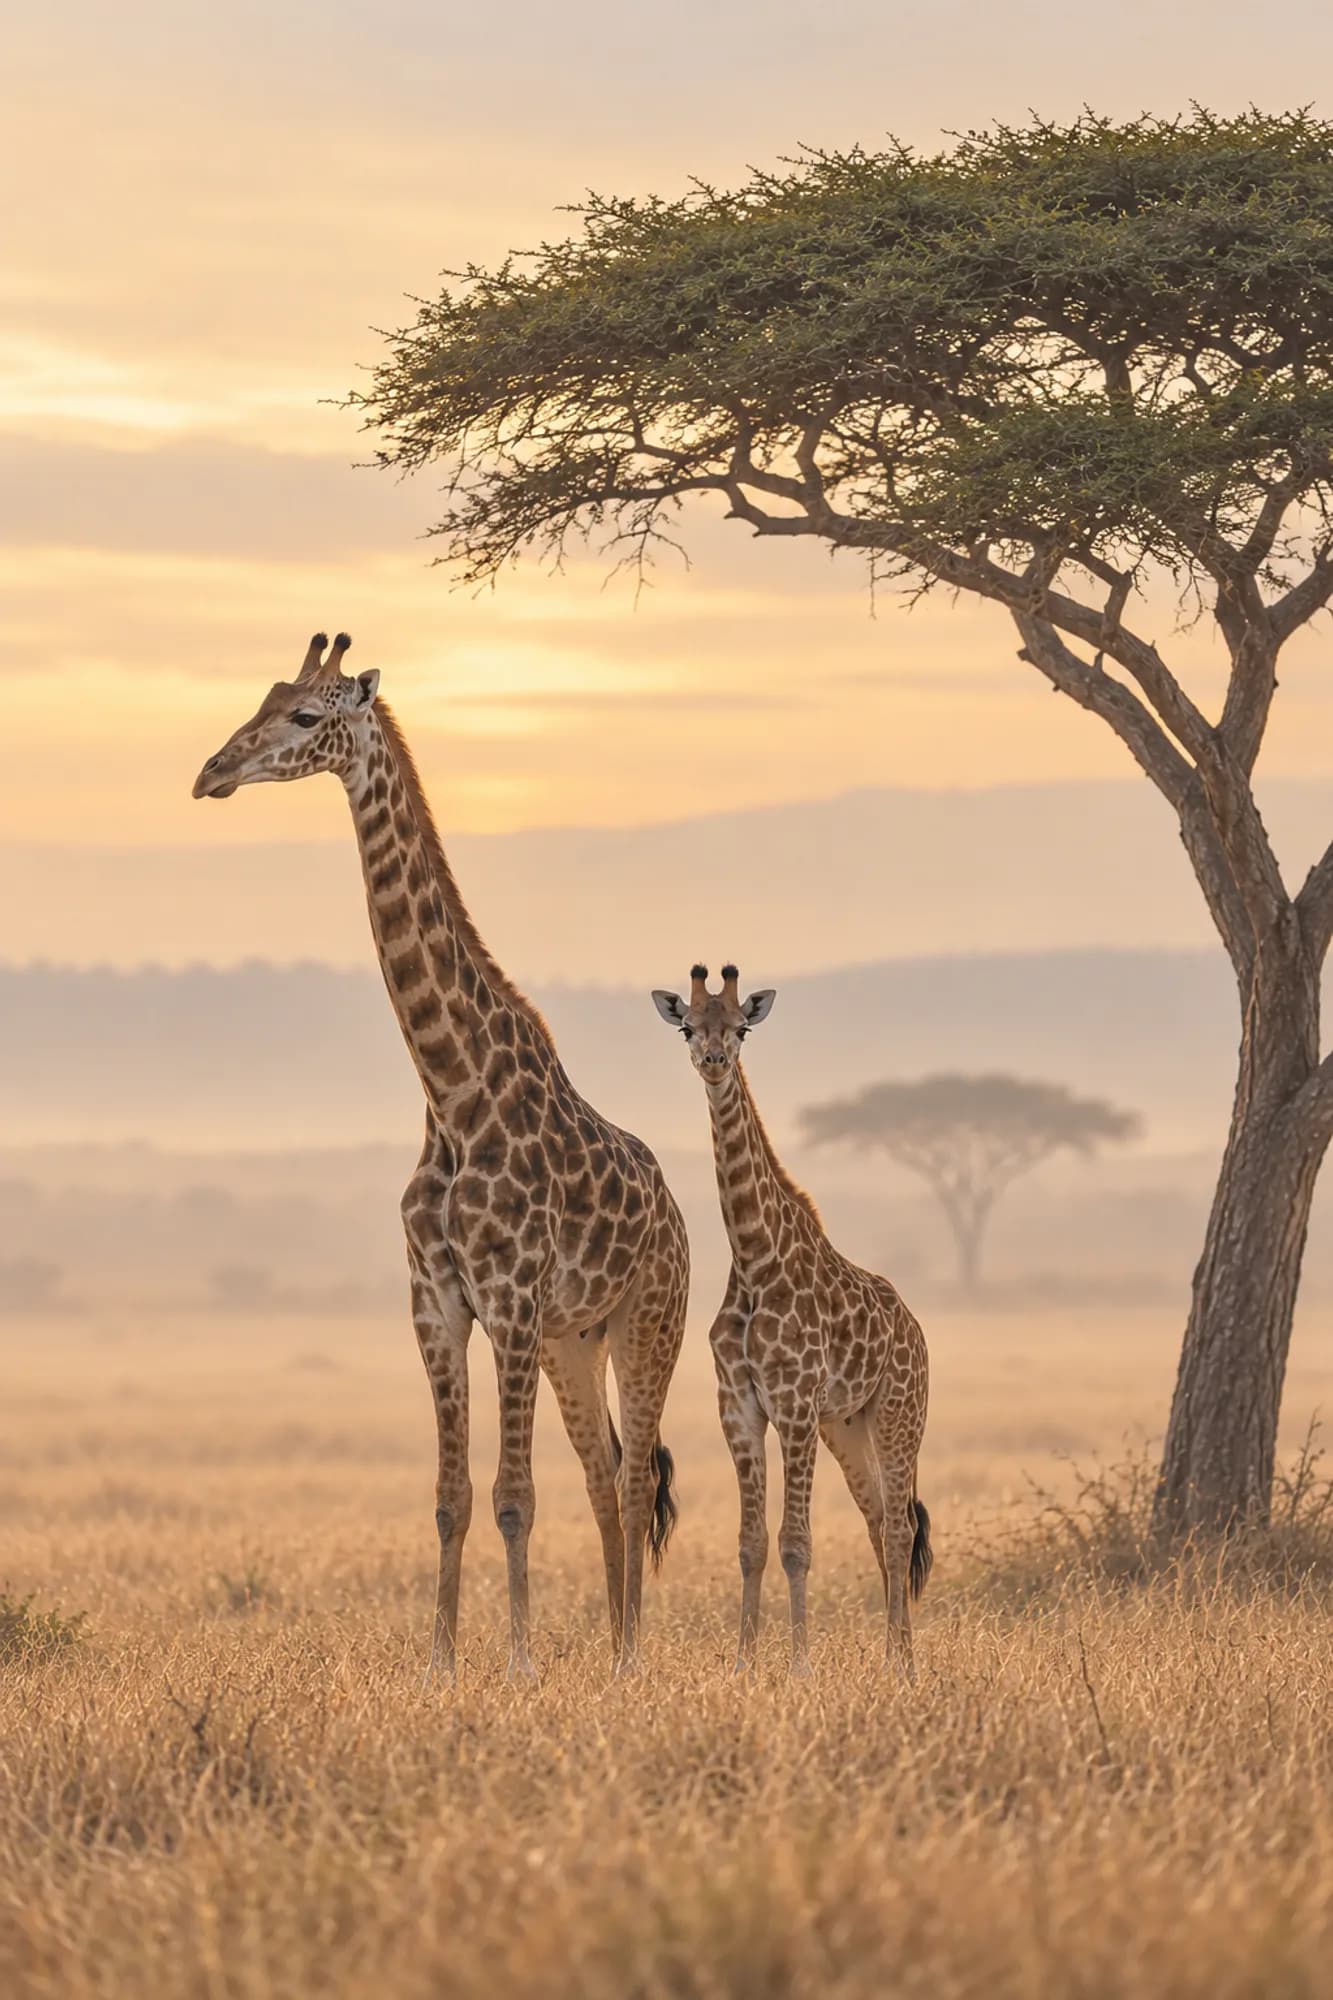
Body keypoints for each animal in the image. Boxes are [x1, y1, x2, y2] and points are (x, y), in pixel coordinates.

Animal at [192, 632, 690, 1679]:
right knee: (606, 1472)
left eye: (306, 715)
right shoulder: (437, 1301)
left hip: (645, 1320)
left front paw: (520, 1665)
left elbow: (513, 1498)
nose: (210, 772)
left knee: (633, 1481)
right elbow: (452, 1499)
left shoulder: (508, 1299)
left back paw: (630, 1658)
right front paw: (440, 1664)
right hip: (573, 1339)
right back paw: (614, 1646)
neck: (452, 1096)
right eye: (263, 695)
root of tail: (675, 1211)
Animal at [652, 965, 931, 1677]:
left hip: (898, 1413)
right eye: (688, 1027)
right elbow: (751, 1542)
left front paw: (800, 1666)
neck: (754, 1256)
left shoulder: (796, 1404)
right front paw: (744, 1663)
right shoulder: (740, 1406)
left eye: (742, 1027)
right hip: (847, 1426)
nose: (714, 1061)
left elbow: (796, 1542)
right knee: (877, 1519)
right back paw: (894, 1652)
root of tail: (916, 1330)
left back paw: (903, 1663)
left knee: (900, 1526)